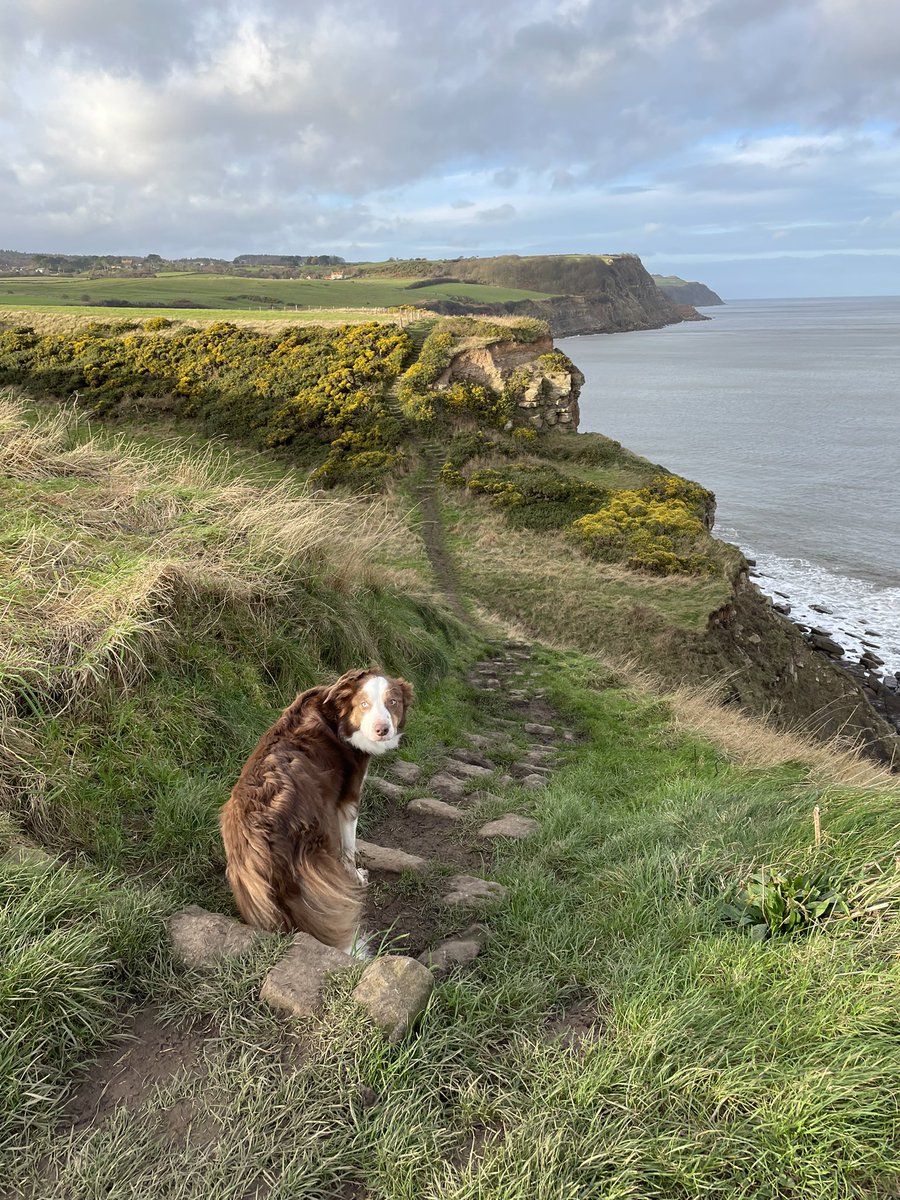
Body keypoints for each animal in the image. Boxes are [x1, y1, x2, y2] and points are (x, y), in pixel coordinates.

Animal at [220, 667, 415, 955]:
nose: (383, 730)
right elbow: (349, 850)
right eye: (364, 704)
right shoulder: (348, 801)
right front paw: (358, 876)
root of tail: (255, 835)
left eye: (393, 702)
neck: (337, 713)